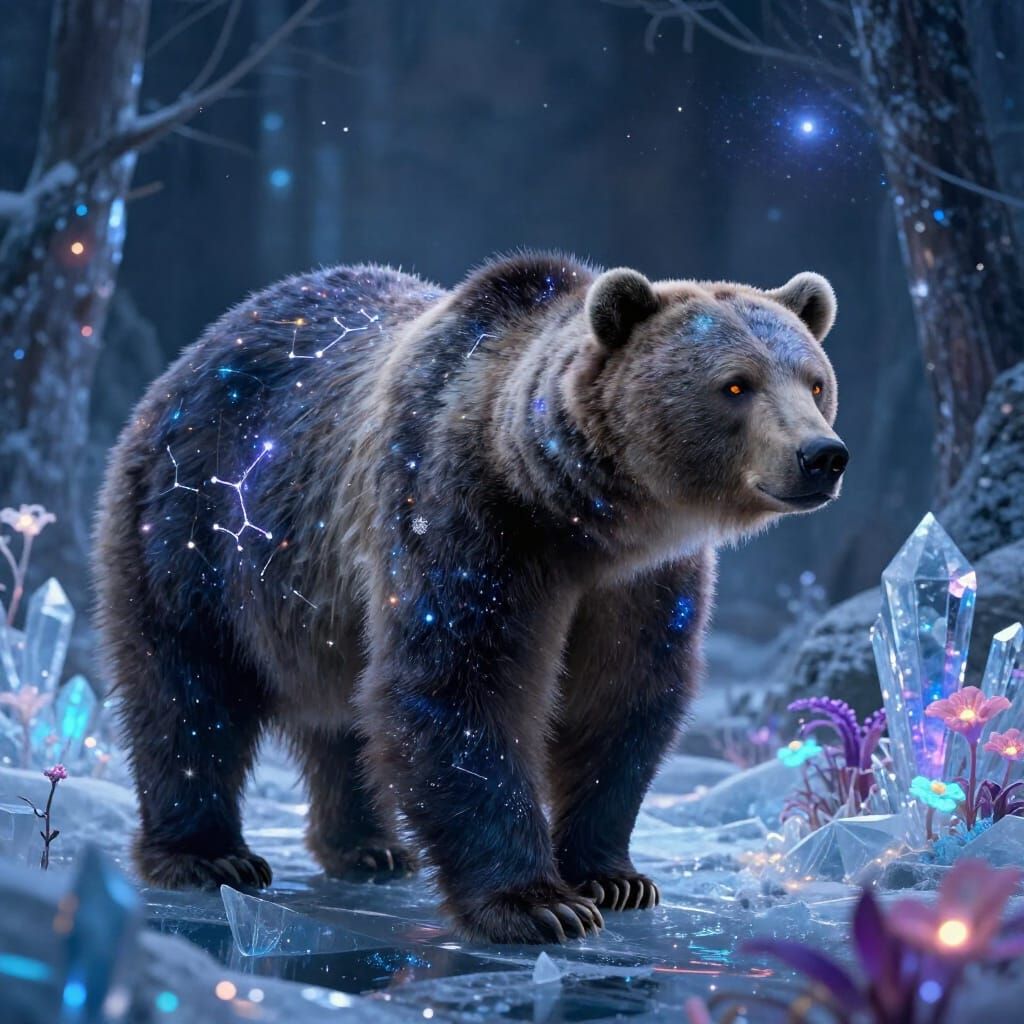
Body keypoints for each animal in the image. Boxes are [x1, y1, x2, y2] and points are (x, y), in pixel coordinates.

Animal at [93, 253, 847, 944]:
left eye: (815, 381)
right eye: (736, 384)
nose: (822, 455)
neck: (583, 518)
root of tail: (199, 350)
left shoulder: (644, 582)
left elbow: (623, 696)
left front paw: (615, 876)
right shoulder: (464, 515)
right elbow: (460, 684)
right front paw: (538, 903)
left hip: (313, 599)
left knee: (340, 713)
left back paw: (368, 844)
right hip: (197, 522)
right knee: (187, 688)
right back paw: (207, 855)